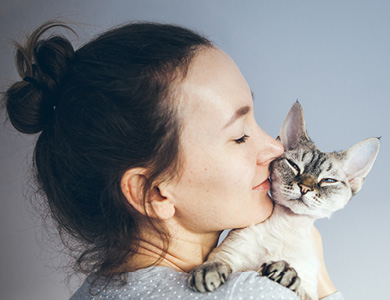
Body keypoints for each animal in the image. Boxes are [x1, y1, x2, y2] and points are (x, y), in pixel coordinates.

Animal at [189, 102, 380, 298]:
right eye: (294, 166)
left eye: (328, 180)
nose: (304, 188)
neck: (287, 226)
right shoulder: (228, 254)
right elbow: (219, 262)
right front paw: (208, 271)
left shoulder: (309, 292)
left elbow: (299, 286)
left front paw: (284, 273)